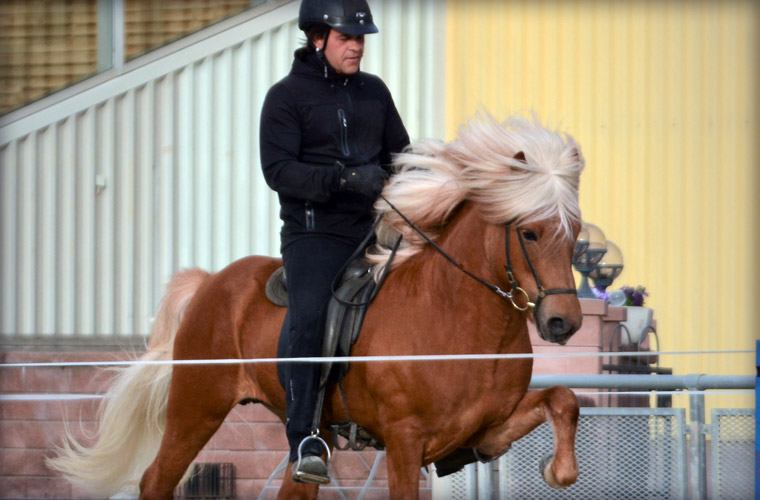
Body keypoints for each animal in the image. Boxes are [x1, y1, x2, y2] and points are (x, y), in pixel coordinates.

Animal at [52, 114, 588, 500]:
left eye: (576, 232)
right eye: (529, 233)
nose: (563, 322)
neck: (459, 321)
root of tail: (211, 283)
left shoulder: (486, 433)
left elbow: (563, 398)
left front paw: (557, 469)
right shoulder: (404, 443)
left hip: (303, 436)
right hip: (196, 408)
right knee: (156, 480)